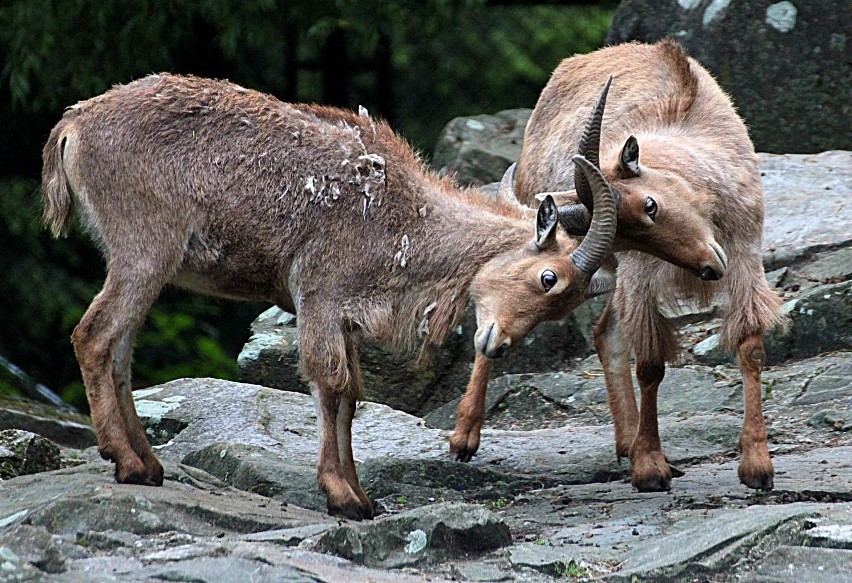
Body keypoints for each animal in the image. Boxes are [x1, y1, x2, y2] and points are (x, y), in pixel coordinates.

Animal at [41, 74, 620, 520]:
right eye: (548, 278)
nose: (495, 345)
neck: (405, 217)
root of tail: (73, 126)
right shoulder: (319, 296)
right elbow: (331, 382)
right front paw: (341, 496)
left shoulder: (345, 316)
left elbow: (351, 397)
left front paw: (362, 496)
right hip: (144, 249)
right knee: (94, 335)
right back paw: (127, 462)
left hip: (139, 261)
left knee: (120, 349)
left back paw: (150, 463)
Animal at [450, 38, 788, 490]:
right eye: (624, 236)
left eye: (650, 204)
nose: (708, 268)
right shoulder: (638, 273)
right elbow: (649, 365)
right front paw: (650, 468)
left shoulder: (744, 252)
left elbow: (749, 346)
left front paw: (756, 465)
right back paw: (464, 436)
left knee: (604, 332)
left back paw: (627, 442)